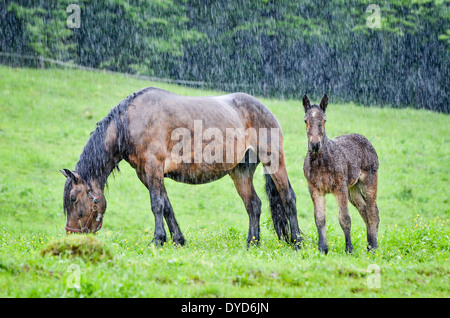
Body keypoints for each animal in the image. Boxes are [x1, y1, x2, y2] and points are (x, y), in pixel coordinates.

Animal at [302, 94, 380, 253]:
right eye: (306, 120)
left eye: (324, 120)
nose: (315, 145)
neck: (321, 162)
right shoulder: (315, 189)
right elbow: (319, 218)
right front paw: (322, 248)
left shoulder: (340, 188)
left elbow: (344, 218)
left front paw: (349, 248)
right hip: (353, 188)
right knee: (363, 209)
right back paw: (369, 244)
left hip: (368, 181)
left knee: (373, 211)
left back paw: (373, 247)